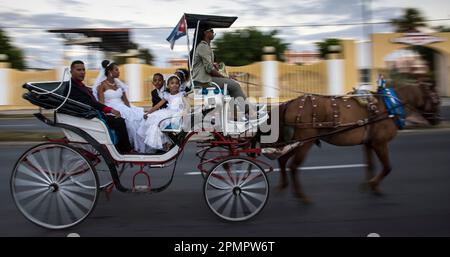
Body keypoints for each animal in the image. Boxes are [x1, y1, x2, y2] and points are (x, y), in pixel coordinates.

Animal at [274, 82, 440, 202]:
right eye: (436, 100)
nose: (438, 120)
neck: (389, 106)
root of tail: (289, 103)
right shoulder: (380, 143)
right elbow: (387, 167)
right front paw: (373, 184)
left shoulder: (369, 143)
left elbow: (370, 165)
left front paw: (370, 186)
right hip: (305, 141)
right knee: (293, 166)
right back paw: (302, 197)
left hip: (299, 141)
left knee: (283, 160)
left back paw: (283, 186)